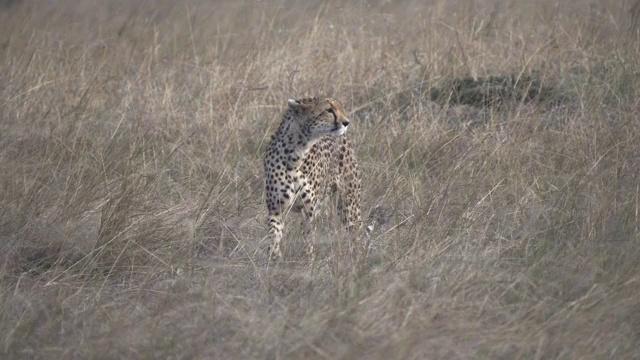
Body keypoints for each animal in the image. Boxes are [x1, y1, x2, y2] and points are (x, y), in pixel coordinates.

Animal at [262, 97, 360, 260]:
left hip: (349, 204)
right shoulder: (275, 208)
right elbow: (274, 235)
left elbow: (307, 238)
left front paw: (308, 259)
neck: (296, 153)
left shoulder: (308, 211)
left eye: (340, 108)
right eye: (329, 110)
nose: (346, 122)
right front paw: (274, 256)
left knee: (356, 233)